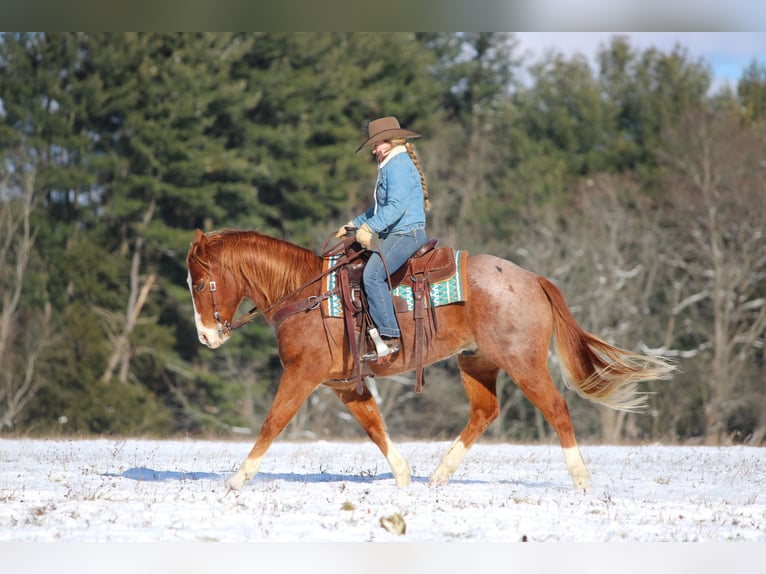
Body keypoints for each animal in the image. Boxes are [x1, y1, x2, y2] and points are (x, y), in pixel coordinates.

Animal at [186, 228, 673, 491]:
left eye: (201, 282)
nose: (206, 336)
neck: (307, 294)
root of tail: (532, 278)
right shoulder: (345, 385)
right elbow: (374, 427)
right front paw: (404, 478)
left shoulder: (302, 375)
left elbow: (273, 422)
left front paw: (237, 479)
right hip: (476, 362)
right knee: (485, 412)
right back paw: (438, 476)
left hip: (524, 364)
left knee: (556, 408)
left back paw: (581, 479)